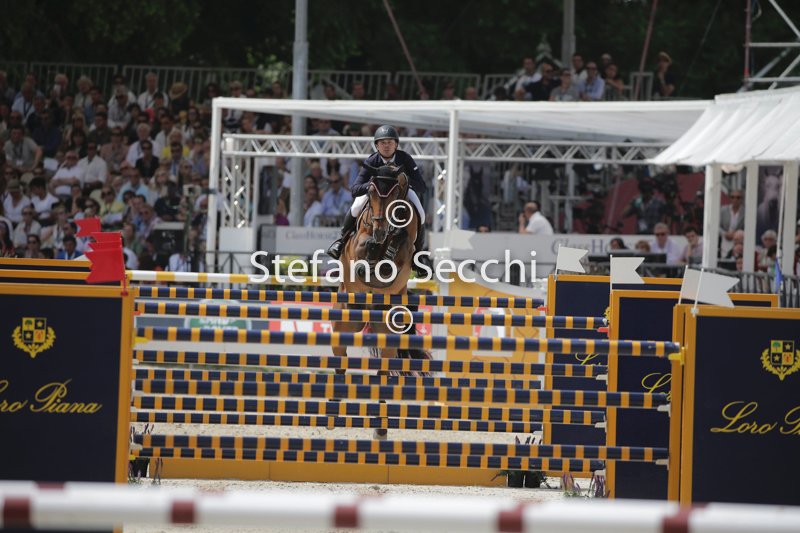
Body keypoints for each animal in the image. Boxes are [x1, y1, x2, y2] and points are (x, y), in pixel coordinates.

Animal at [331, 163, 427, 439]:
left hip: (387, 335)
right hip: (343, 324)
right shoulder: (358, 243)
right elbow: (366, 247)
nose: (380, 228)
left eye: (395, 195)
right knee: (340, 364)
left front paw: (384, 256)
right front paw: (369, 262)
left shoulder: (405, 247)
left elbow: (398, 244)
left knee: (382, 374)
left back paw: (380, 429)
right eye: (372, 192)